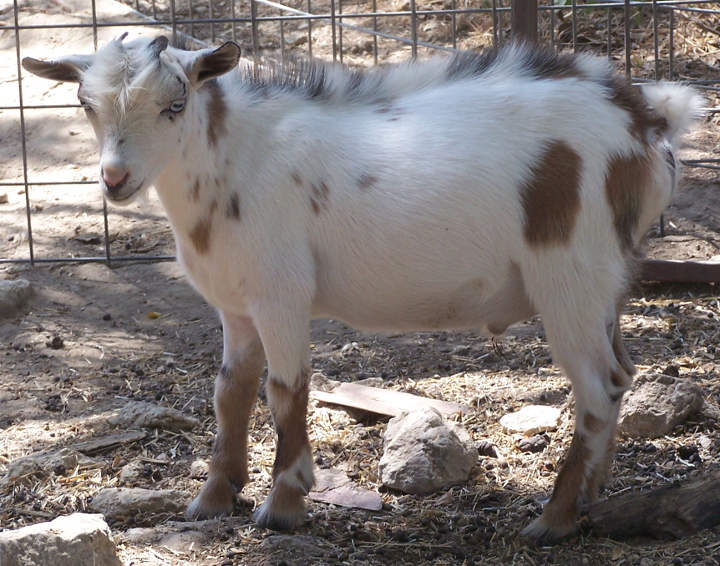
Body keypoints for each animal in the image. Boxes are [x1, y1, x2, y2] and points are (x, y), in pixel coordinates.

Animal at [23, 34, 704, 540]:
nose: (115, 178)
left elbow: (286, 390)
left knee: (598, 385)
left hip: (569, 275)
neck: (234, 158)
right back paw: (592, 492)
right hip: (606, 279)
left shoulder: (281, 294)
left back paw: (553, 520)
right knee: (621, 373)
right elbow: (230, 393)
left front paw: (284, 506)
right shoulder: (236, 305)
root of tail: (645, 123)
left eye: (175, 103)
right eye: (85, 104)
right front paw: (212, 499)